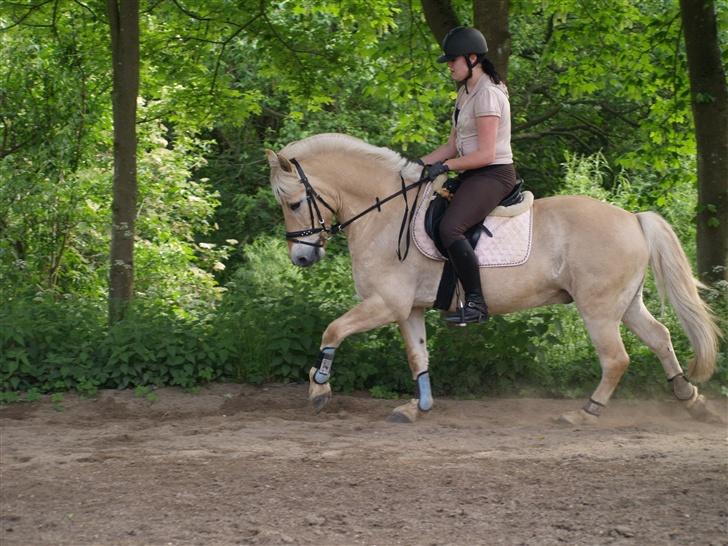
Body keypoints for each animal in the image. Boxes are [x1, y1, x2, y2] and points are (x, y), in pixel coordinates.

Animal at [266, 132, 724, 420]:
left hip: (598, 309)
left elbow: (332, 330)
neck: (385, 214)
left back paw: (585, 413)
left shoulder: (385, 304)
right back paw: (691, 400)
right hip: (625, 304)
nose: (301, 257)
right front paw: (418, 408)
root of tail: (632, 218)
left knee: (616, 359)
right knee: (660, 338)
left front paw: (319, 388)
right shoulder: (408, 309)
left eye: (293, 203)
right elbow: (418, 357)